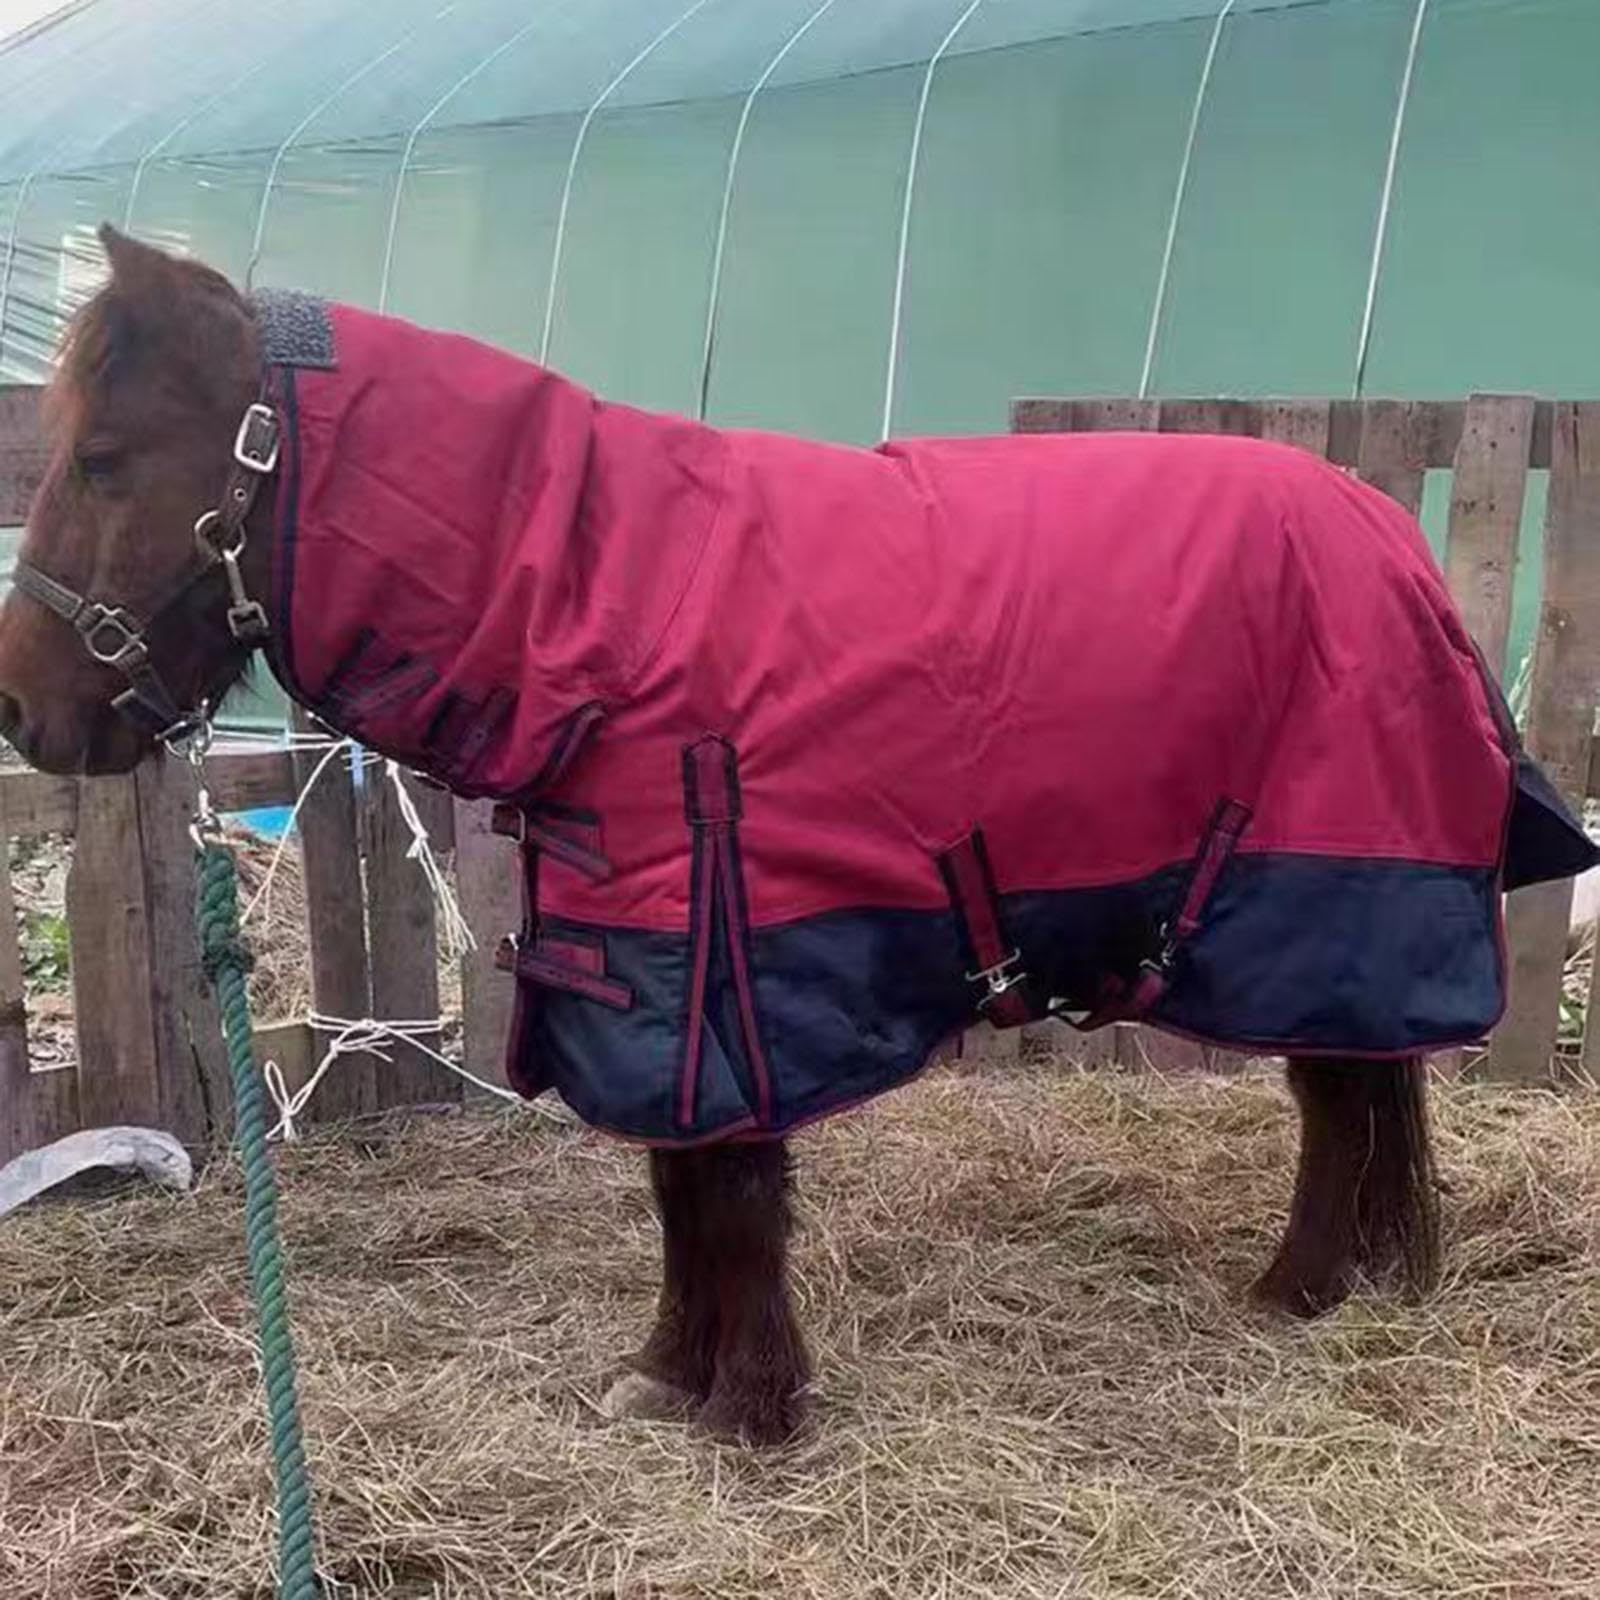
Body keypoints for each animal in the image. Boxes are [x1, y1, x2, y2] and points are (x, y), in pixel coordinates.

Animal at [0, 226, 1590, 1446]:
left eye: (105, 458)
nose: (26, 711)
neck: (610, 607)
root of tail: (1384, 533)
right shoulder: (643, 963)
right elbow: (681, 1186)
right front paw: (671, 1376)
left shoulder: (729, 960)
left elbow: (737, 1193)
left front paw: (752, 1402)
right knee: (1355, 1098)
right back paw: (1355, 1279)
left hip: (1325, 900)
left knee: (1341, 1097)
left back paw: (1304, 1285)